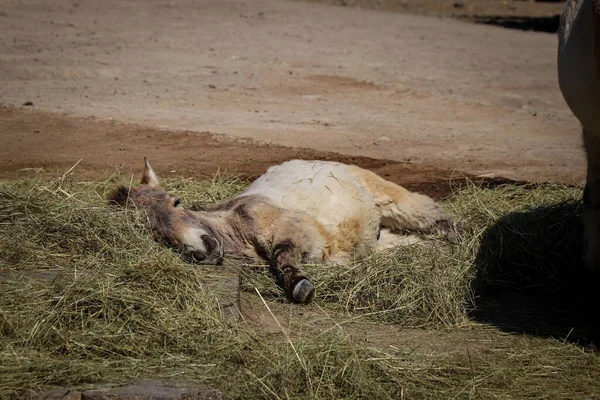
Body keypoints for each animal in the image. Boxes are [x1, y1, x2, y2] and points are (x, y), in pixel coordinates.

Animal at [110, 159, 452, 304]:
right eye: (153, 231)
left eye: (177, 201)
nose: (202, 250)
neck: (238, 226)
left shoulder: (296, 229)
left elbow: (283, 252)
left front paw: (299, 286)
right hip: (378, 240)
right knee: (408, 242)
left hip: (386, 196)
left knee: (426, 211)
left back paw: (453, 236)